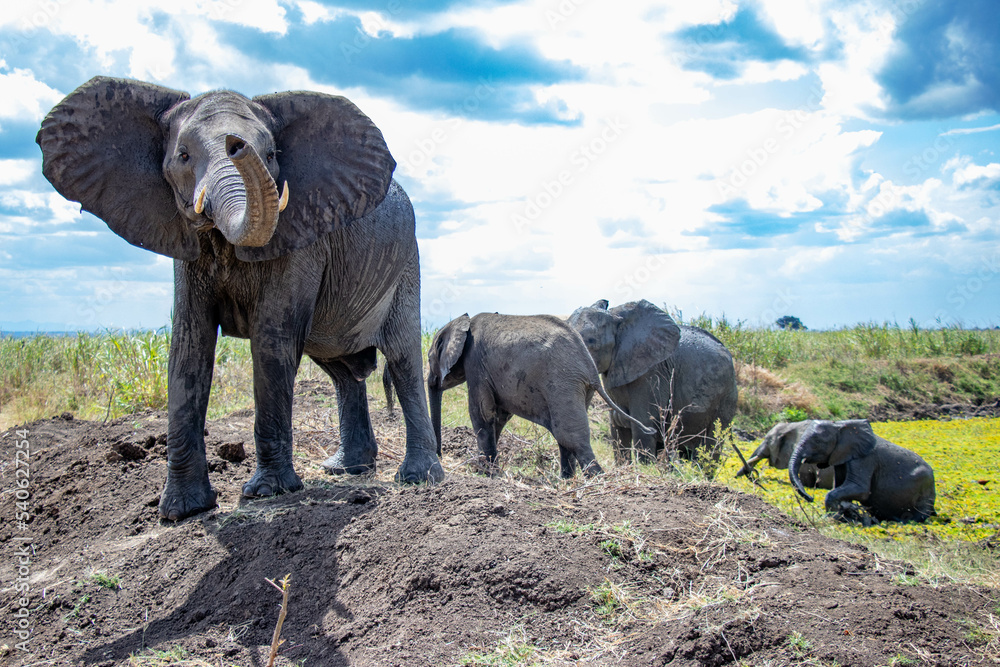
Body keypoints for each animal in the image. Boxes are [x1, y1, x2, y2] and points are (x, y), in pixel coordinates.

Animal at [37, 76, 443, 521]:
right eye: (183, 156)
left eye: (271, 155)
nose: (237, 144)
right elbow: (189, 345)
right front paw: (181, 511)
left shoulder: (298, 239)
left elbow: (271, 342)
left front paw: (267, 492)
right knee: (340, 371)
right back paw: (345, 469)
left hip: (406, 264)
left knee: (402, 357)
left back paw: (418, 478)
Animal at [426, 313, 655, 478]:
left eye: (429, 359)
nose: (439, 454)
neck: (463, 322)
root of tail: (590, 368)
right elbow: (498, 418)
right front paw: (489, 469)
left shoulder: (475, 363)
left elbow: (482, 413)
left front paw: (486, 474)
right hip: (579, 389)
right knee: (564, 436)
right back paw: (566, 479)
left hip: (563, 383)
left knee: (571, 437)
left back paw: (596, 480)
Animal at [567, 300, 738, 463]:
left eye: (591, 341)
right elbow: (617, 431)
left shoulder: (652, 375)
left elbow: (643, 429)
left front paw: (645, 467)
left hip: (726, 399)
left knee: (711, 447)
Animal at [789, 419, 936, 523]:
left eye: (817, 442)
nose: (811, 498)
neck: (841, 426)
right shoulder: (842, 458)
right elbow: (839, 486)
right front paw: (844, 516)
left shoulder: (864, 459)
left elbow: (861, 489)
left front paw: (835, 518)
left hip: (925, 489)